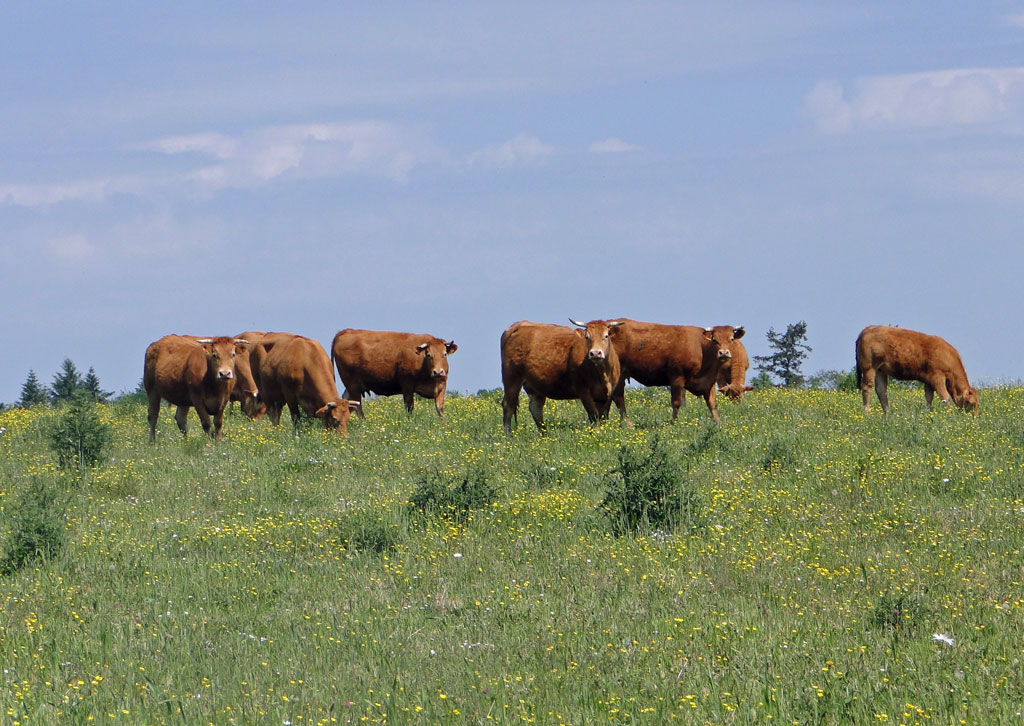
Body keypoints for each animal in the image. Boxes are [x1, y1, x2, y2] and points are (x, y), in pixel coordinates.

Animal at [329, 327, 458, 415]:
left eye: (444, 354)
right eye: (428, 355)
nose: (438, 372)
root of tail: (345, 332)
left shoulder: (442, 386)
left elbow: (440, 409)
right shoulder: (407, 386)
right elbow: (409, 407)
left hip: (353, 385)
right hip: (351, 383)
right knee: (357, 405)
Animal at [606, 319, 745, 423]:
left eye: (731, 339)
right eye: (714, 340)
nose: (724, 353)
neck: (702, 349)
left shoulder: (709, 382)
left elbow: (712, 404)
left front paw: (718, 424)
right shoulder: (677, 378)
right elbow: (677, 403)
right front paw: (674, 423)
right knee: (618, 398)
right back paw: (626, 424)